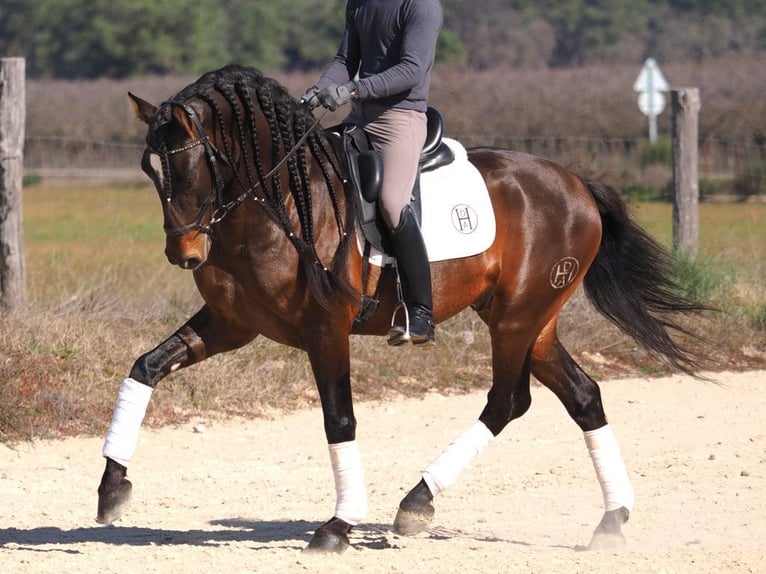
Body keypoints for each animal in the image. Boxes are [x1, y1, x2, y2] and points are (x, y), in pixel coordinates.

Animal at [97, 65, 708, 556]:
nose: (184, 254)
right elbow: (146, 366)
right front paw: (111, 487)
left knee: (508, 401)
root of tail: (577, 183)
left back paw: (417, 502)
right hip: (531, 322)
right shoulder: (233, 323)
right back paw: (611, 518)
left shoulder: (326, 328)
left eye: (192, 166)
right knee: (582, 396)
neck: (276, 203)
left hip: (517, 319)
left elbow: (339, 418)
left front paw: (338, 526)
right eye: (150, 170)